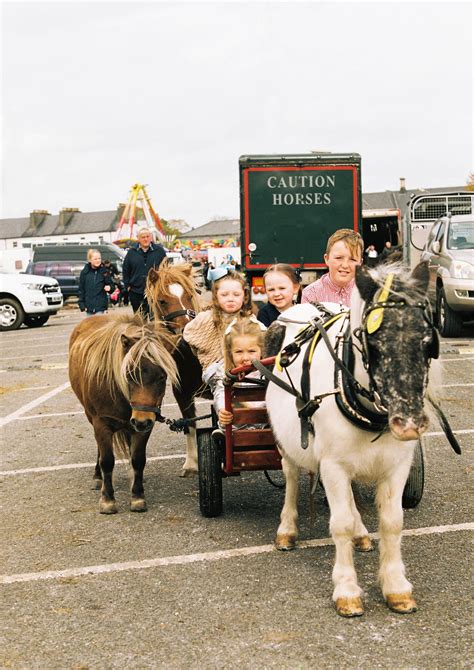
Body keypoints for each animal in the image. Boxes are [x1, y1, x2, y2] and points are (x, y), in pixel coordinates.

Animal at [69, 312, 178, 514]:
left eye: (162, 376)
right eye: (128, 374)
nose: (142, 420)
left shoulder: (144, 427)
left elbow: (138, 459)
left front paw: (137, 495)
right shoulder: (101, 423)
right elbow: (107, 461)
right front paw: (107, 499)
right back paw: (98, 477)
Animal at [146, 260, 209, 476]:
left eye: (189, 295)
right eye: (162, 301)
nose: (186, 330)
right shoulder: (182, 393)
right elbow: (189, 425)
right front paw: (191, 464)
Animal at [264, 262, 440, 617]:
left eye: (429, 343)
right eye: (372, 343)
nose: (409, 424)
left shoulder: (396, 465)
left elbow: (392, 522)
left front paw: (396, 586)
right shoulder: (333, 465)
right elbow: (340, 523)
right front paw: (346, 590)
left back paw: (361, 533)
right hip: (286, 443)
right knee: (291, 477)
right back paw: (287, 529)